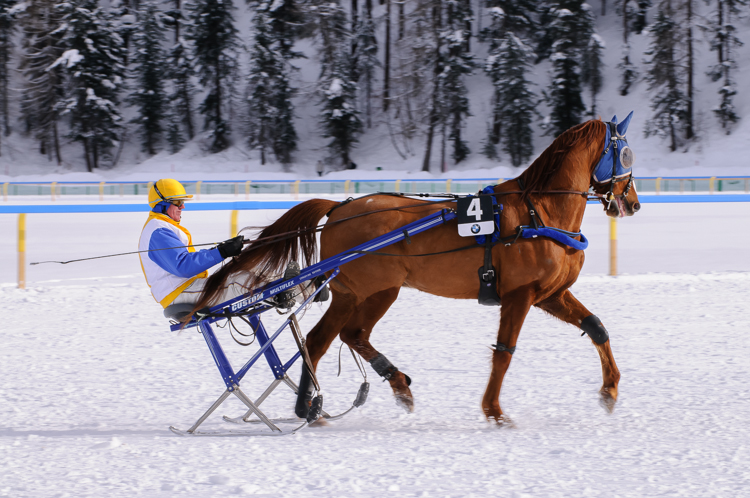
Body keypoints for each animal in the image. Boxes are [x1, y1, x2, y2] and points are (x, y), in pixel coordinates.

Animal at [197, 117, 644, 424]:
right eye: (625, 153)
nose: (633, 202)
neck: (540, 211)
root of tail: (339, 208)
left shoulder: (548, 294)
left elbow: (597, 327)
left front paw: (609, 390)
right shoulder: (519, 296)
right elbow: (504, 352)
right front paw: (494, 409)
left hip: (359, 293)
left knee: (330, 338)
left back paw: (327, 401)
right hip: (374, 290)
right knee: (338, 336)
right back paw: (332, 399)